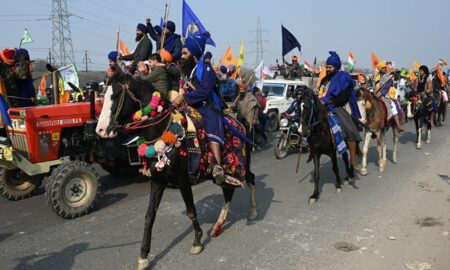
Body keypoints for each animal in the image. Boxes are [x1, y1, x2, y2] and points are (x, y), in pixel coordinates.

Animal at [95, 70, 256, 268]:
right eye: (103, 95)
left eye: (116, 95)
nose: (100, 130)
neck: (161, 132)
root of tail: (240, 121)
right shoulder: (157, 181)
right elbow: (149, 216)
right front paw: (143, 256)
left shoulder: (183, 180)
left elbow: (191, 211)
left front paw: (197, 241)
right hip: (226, 172)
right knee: (228, 191)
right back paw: (218, 225)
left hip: (241, 164)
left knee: (250, 179)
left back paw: (253, 212)